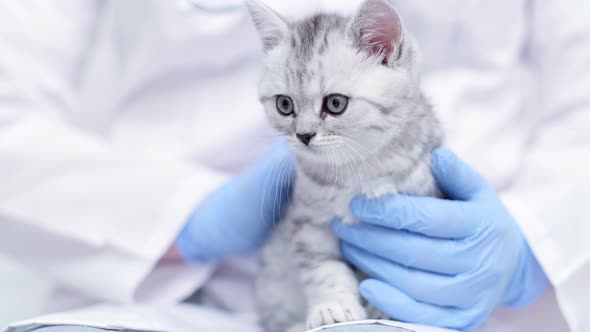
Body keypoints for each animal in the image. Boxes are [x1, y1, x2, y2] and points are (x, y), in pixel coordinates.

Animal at [246, 0, 444, 332]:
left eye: (335, 103)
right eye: (284, 105)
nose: (303, 135)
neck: (357, 170)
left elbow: (398, 272)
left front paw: (388, 309)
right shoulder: (308, 220)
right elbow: (322, 267)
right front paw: (332, 306)